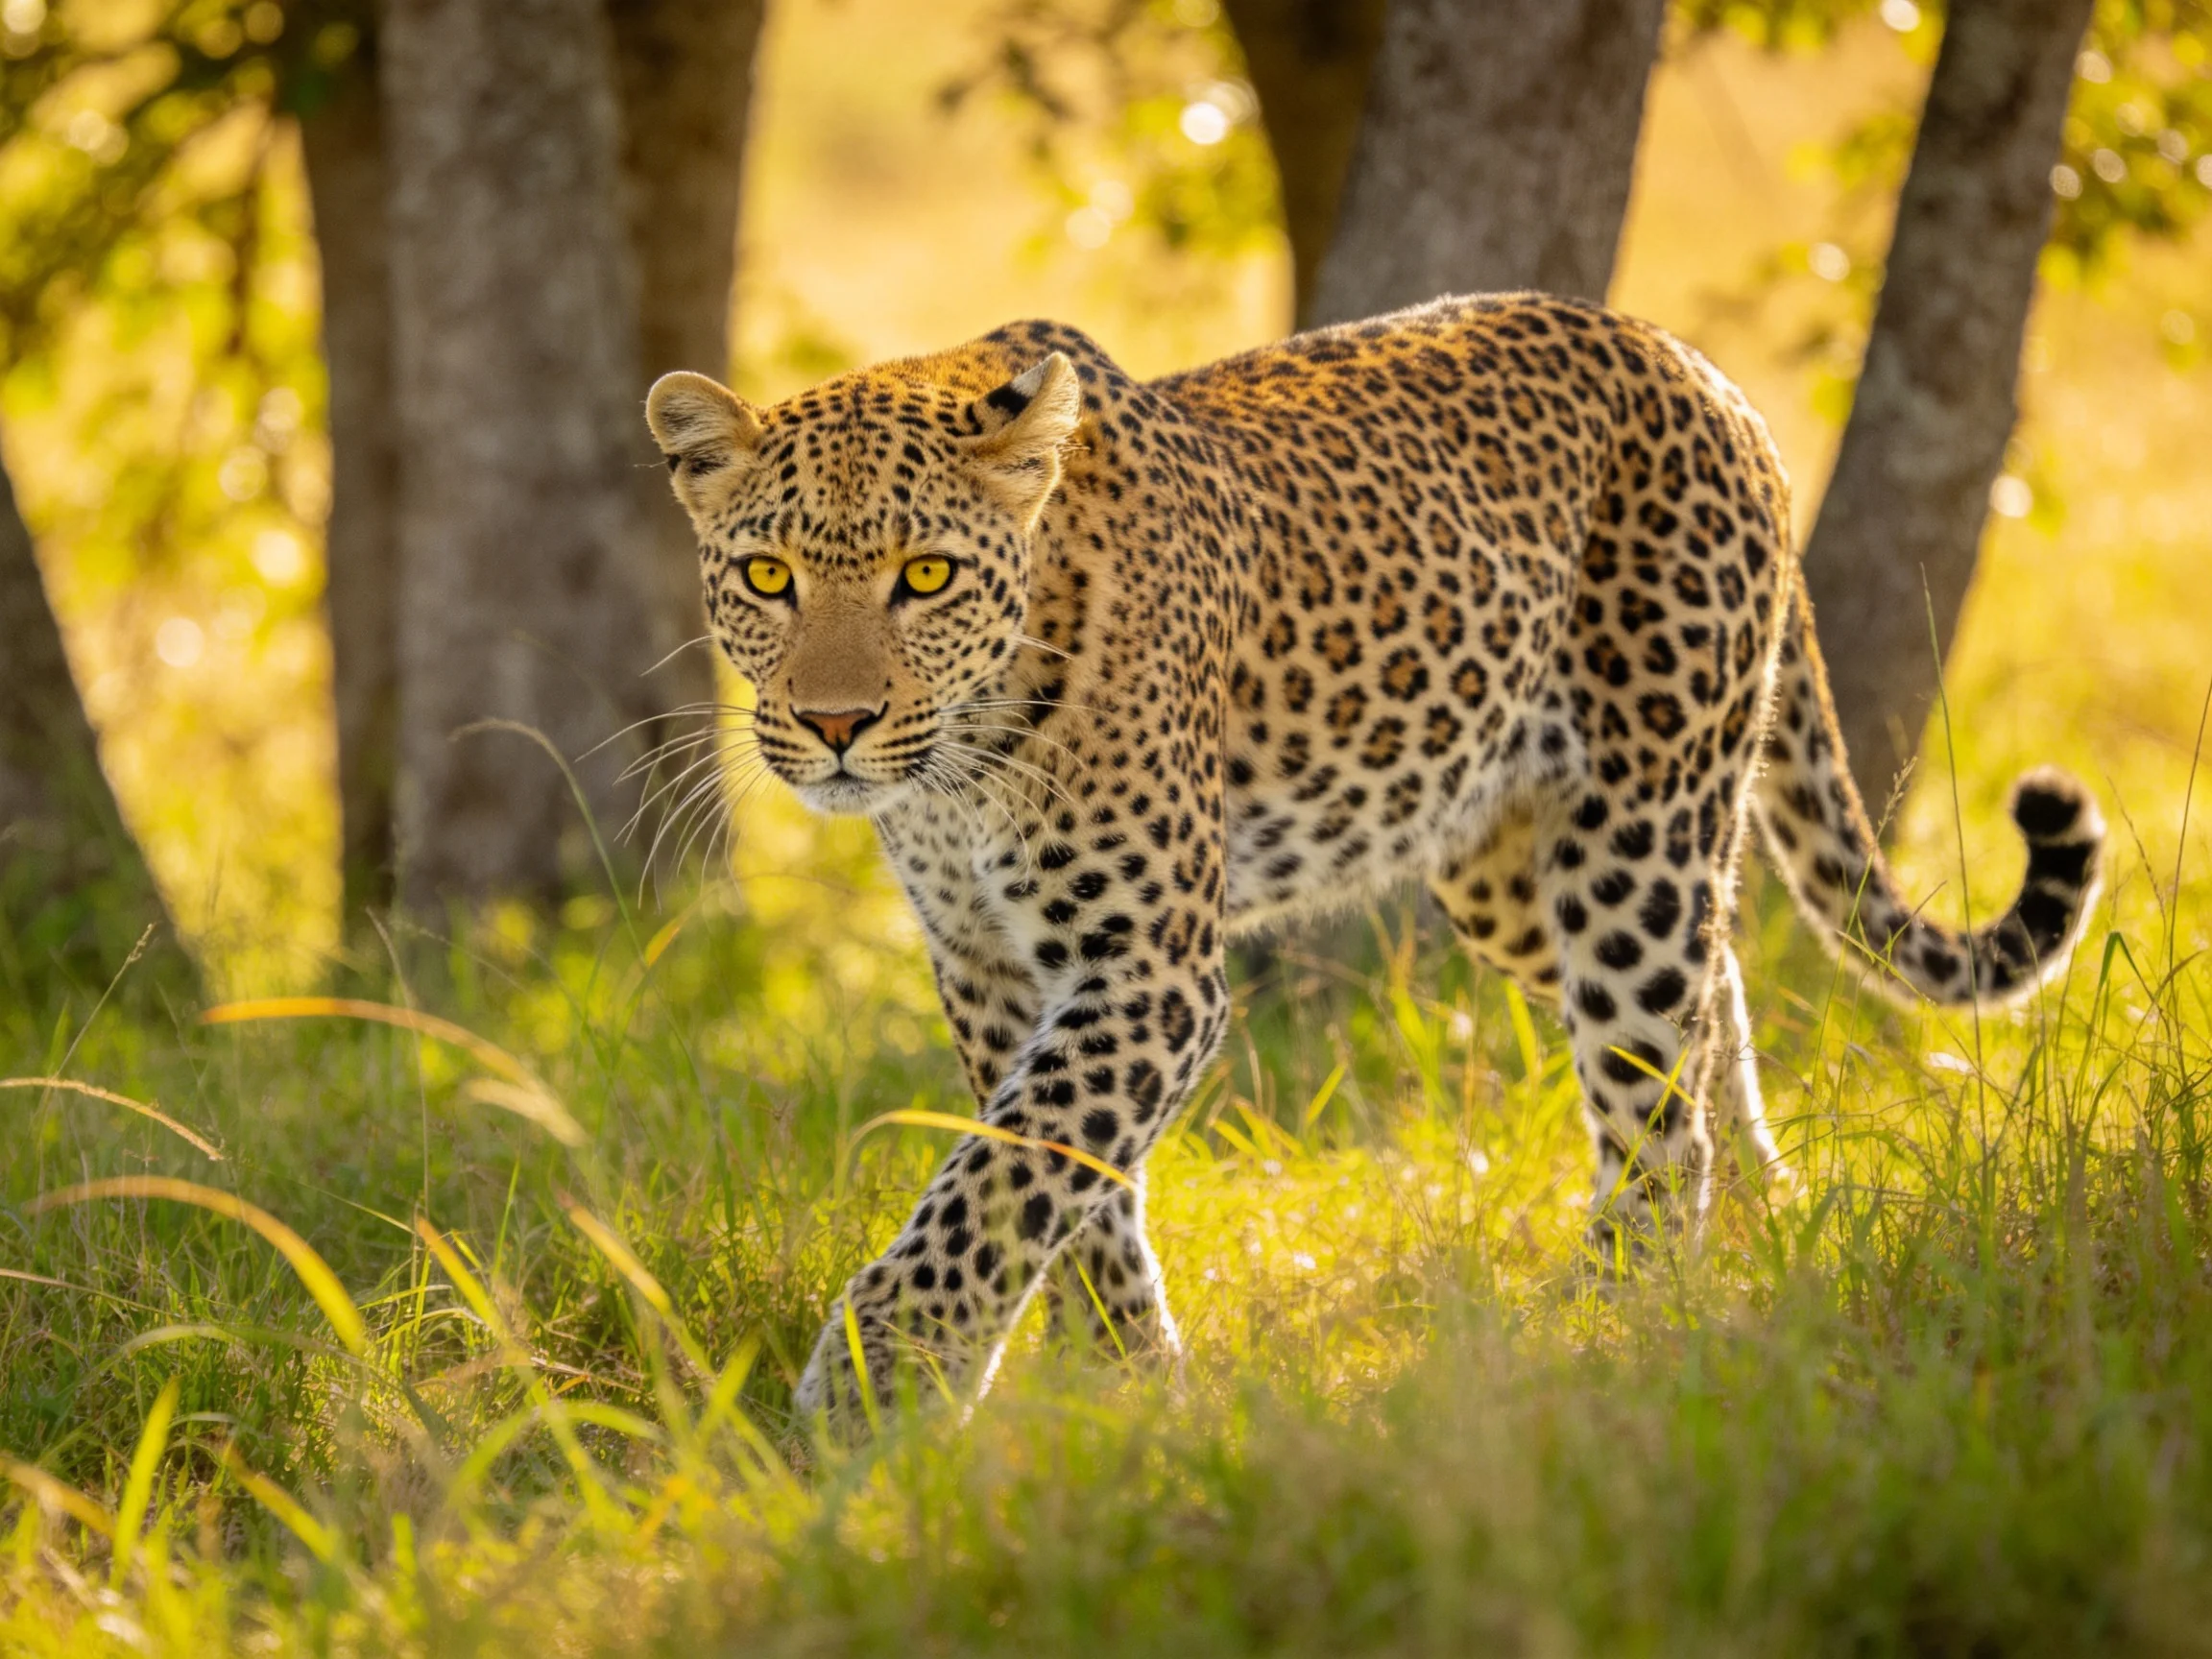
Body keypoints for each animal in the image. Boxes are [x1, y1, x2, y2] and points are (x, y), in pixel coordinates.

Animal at [644, 292, 2104, 1429]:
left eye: (929, 576)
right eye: (766, 577)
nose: (836, 725)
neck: (961, 766)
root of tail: (1689, 361)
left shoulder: (1144, 970)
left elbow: (1005, 1178)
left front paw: (874, 1392)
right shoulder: (992, 968)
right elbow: (1062, 1182)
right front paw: (1131, 1388)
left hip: (1636, 823)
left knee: (1651, 1102)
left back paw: (1613, 1329)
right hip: (1508, 868)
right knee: (1714, 990)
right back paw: (1757, 1220)